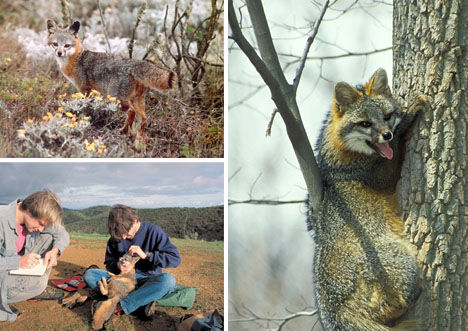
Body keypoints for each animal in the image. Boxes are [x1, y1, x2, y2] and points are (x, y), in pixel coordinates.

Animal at [46, 18, 176, 138]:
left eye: (67, 46)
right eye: (55, 44)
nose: (59, 53)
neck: (77, 59)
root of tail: (134, 63)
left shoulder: (85, 89)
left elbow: (84, 106)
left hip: (118, 99)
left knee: (132, 112)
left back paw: (124, 131)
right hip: (137, 100)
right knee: (143, 118)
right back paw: (138, 137)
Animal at [308, 68, 428, 330]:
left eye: (387, 116)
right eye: (365, 123)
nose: (387, 134)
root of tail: (334, 309)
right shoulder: (382, 177)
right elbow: (397, 150)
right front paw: (410, 116)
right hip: (403, 263)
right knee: (397, 304)